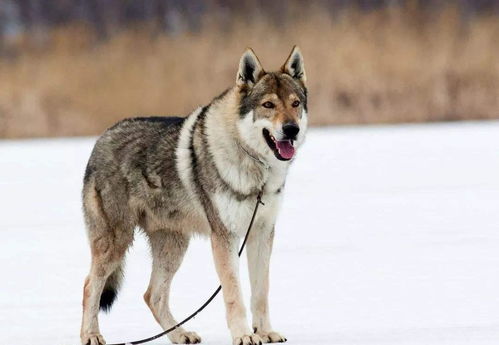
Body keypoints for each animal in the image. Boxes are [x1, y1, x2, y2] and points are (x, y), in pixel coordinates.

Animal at [81, 47, 308, 344]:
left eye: (295, 104)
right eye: (268, 105)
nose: (291, 129)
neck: (255, 168)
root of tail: (100, 140)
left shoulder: (262, 233)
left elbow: (261, 292)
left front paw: (266, 332)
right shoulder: (224, 237)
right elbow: (234, 294)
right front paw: (244, 335)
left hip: (174, 247)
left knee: (152, 295)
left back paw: (180, 335)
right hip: (116, 243)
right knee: (90, 287)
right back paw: (91, 336)